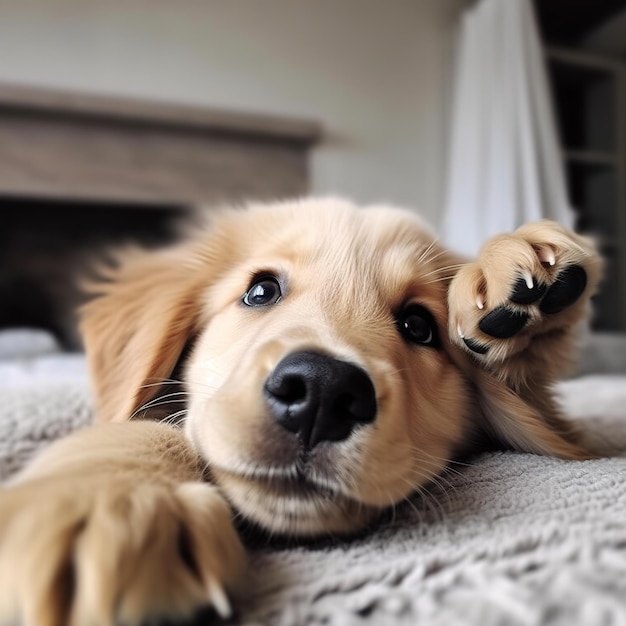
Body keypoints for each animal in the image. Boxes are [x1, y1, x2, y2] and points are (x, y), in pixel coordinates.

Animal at [0, 196, 600, 624]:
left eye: (419, 326)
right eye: (261, 291)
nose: (322, 392)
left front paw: (509, 284)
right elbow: (155, 426)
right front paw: (106, 502)